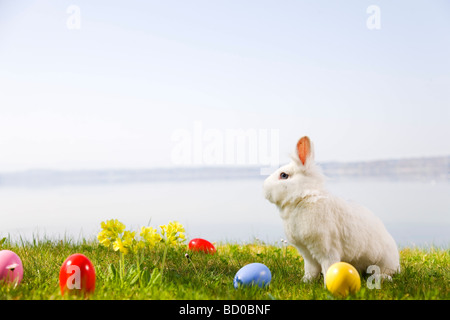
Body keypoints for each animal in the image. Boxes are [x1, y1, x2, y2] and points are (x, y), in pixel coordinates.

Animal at [264, 136, 400, 282]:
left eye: (284, 175)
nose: (264, 188)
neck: (304, 197)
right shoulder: (307, 254)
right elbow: (311, 270)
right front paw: (306, 281)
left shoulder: (327, 250)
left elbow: (328, 267)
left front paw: (327, 285)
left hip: (383, 262)